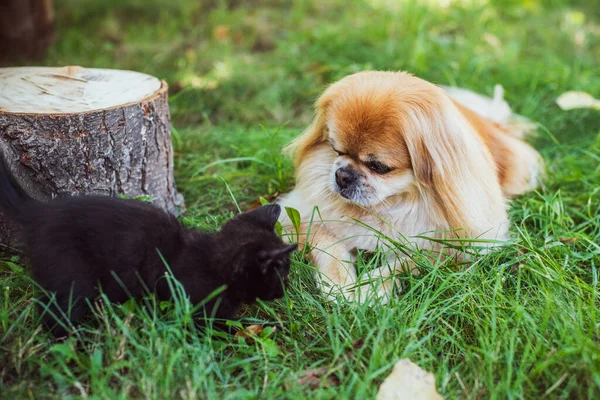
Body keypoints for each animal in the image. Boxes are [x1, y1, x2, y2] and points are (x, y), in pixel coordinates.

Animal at [0, 153, 296, 338]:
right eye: (282, 272)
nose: (287, 289)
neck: (213, 261)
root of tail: (39, 212)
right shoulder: (200, 311)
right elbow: (225, 327)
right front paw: (273, 328)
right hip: (72, 274)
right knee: (56, 315)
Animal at [278, 71, 540, 304]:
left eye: (378, 167)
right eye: (336, 150)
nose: (342, 175)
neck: (392, 205)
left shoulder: (456, 249)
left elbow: (408, 262)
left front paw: (369, 288)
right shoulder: (307, 221)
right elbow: (329, 250)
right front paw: (339, 285)